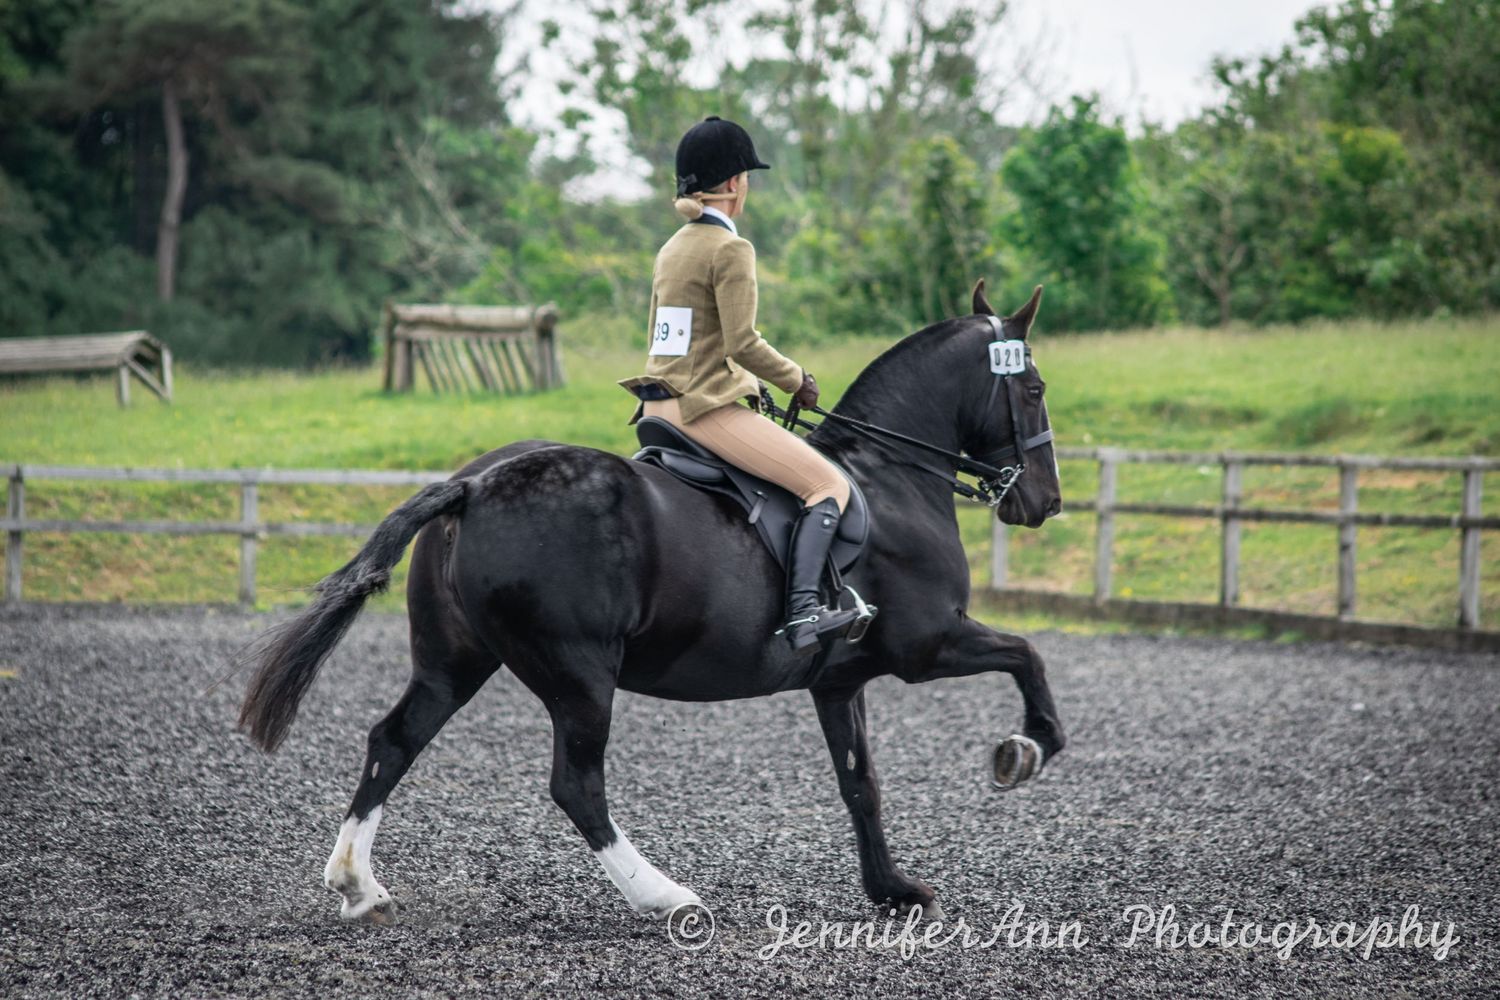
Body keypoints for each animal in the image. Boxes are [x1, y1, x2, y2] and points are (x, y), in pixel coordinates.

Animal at [238, 280, 1067, 925]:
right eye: (1033, 390)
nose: (1045, 502)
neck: (890, 476)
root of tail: (474, 485)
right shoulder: (927, 645)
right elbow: (1028, 655)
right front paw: (1024, 749)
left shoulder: (839, 680)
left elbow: (861, 783)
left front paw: (892, 889)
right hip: (578, 673)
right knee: (577, 784)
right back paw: (664, 896)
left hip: (456, 662)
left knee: (394, 740)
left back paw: (359, 886)